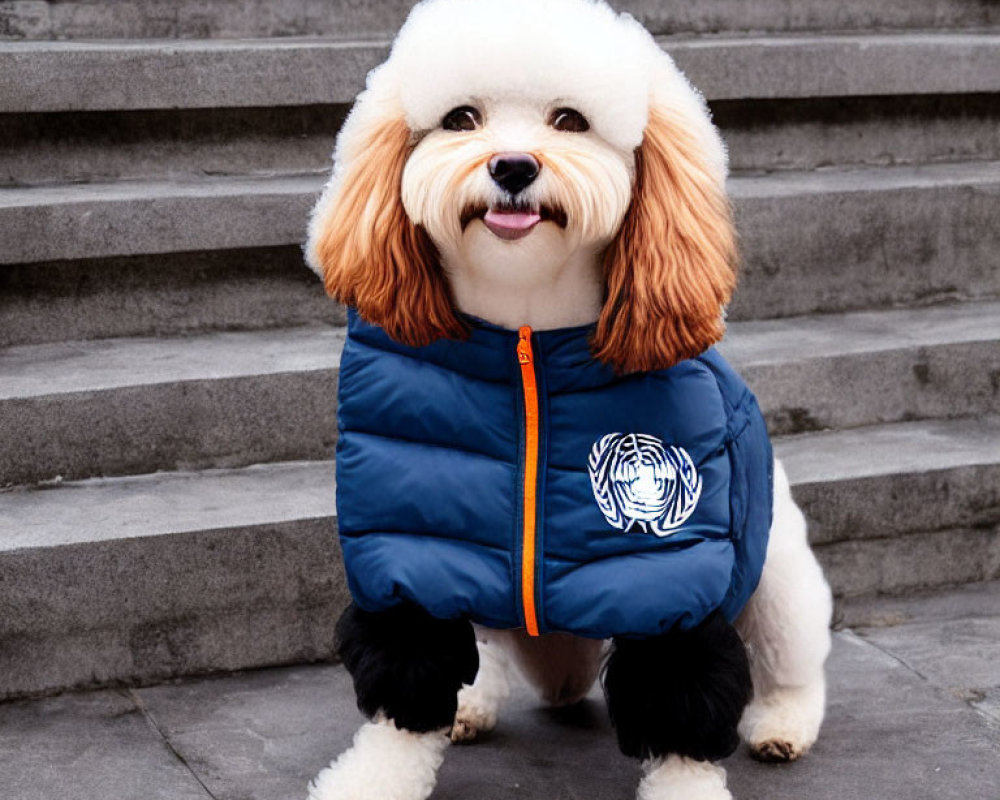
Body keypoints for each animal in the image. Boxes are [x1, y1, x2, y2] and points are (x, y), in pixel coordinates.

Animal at [306, 3, 836, 796]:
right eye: (461, 119)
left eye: (570, 121)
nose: (513, 166)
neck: (526, 333)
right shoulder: (412, 552)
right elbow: (407, 682)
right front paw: (374, 777)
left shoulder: (670, 573)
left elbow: (679, 691)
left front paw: (685, 784)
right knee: (491, 644)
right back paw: (476, 701)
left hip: (777, 576)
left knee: (790, 656)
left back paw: (783, 725)